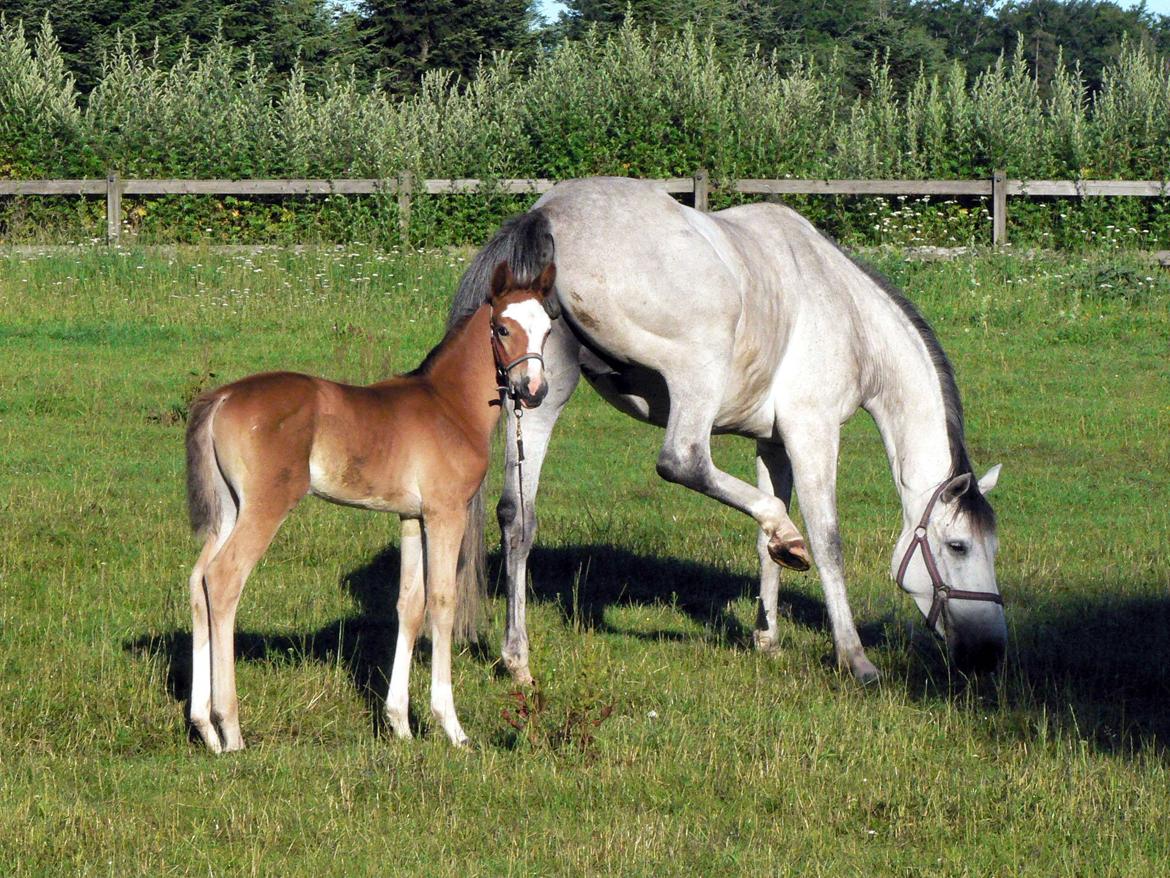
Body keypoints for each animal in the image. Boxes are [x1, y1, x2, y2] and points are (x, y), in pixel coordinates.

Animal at [183, 261, 556, 749]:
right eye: (503, 328)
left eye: (547, 329)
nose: (533, 389)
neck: (449, 405)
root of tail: (222, 397)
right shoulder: (445, 513)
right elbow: (442, 601)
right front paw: (451, 726)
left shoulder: (411, 516)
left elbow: (410, 605)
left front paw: (400, 724)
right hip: (265, 506)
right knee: (224, 579)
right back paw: (230, 729)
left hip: (229, 508)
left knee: (197, 581)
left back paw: (204, 728)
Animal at [446, 176, 1006, 688]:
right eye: (959, 546)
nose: (990, 652)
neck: (850, 316)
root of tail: (548, 212)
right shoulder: (813, 430)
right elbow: (827, 540)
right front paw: (855, 658)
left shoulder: (773, 444)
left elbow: (765, 545)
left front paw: (768, 637)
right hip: (697, 371)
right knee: (682, 459)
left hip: (538, 392)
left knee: (518, 516)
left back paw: (517, 660)